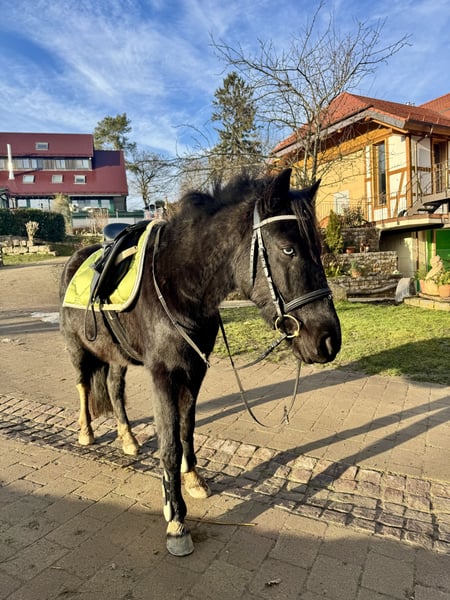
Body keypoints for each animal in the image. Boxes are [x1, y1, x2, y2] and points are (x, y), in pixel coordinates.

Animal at [59, 168, 341, 556]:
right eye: (289, 249)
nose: (329, 340)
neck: (179, 287)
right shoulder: (163, 376)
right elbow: (169, 443)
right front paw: (176, 520)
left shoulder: (195, 372)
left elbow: (187, 430)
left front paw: (193, 479)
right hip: (77, 350)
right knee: (84, 386)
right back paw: (86, 432)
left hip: (117, 356)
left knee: (115, 390)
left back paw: (128, 439)